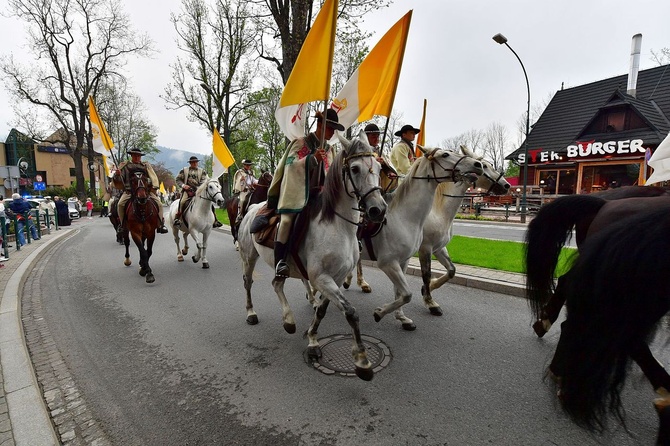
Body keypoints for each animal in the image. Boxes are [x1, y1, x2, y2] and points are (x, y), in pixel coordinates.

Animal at [240, 131, 388, 382]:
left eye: (378, 167)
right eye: (355, 168)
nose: (378, 210)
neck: (337, 226)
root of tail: (252, 208)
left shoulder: (336, 278)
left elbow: (322, 310)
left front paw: (312, 340)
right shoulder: (322, 278)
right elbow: (351, 313)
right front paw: (361, 361)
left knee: (277, 284)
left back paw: (289, 320)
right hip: (249, 257)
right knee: (249, 282)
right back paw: (252, 313)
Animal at [356, 147, 484, 332]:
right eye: (445, 155)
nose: (477, 165)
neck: (404, 216)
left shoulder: (404, 260)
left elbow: (401, 293)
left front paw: (402, 318)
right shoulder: (389, 263)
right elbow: (408, 292)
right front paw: (380, 312)